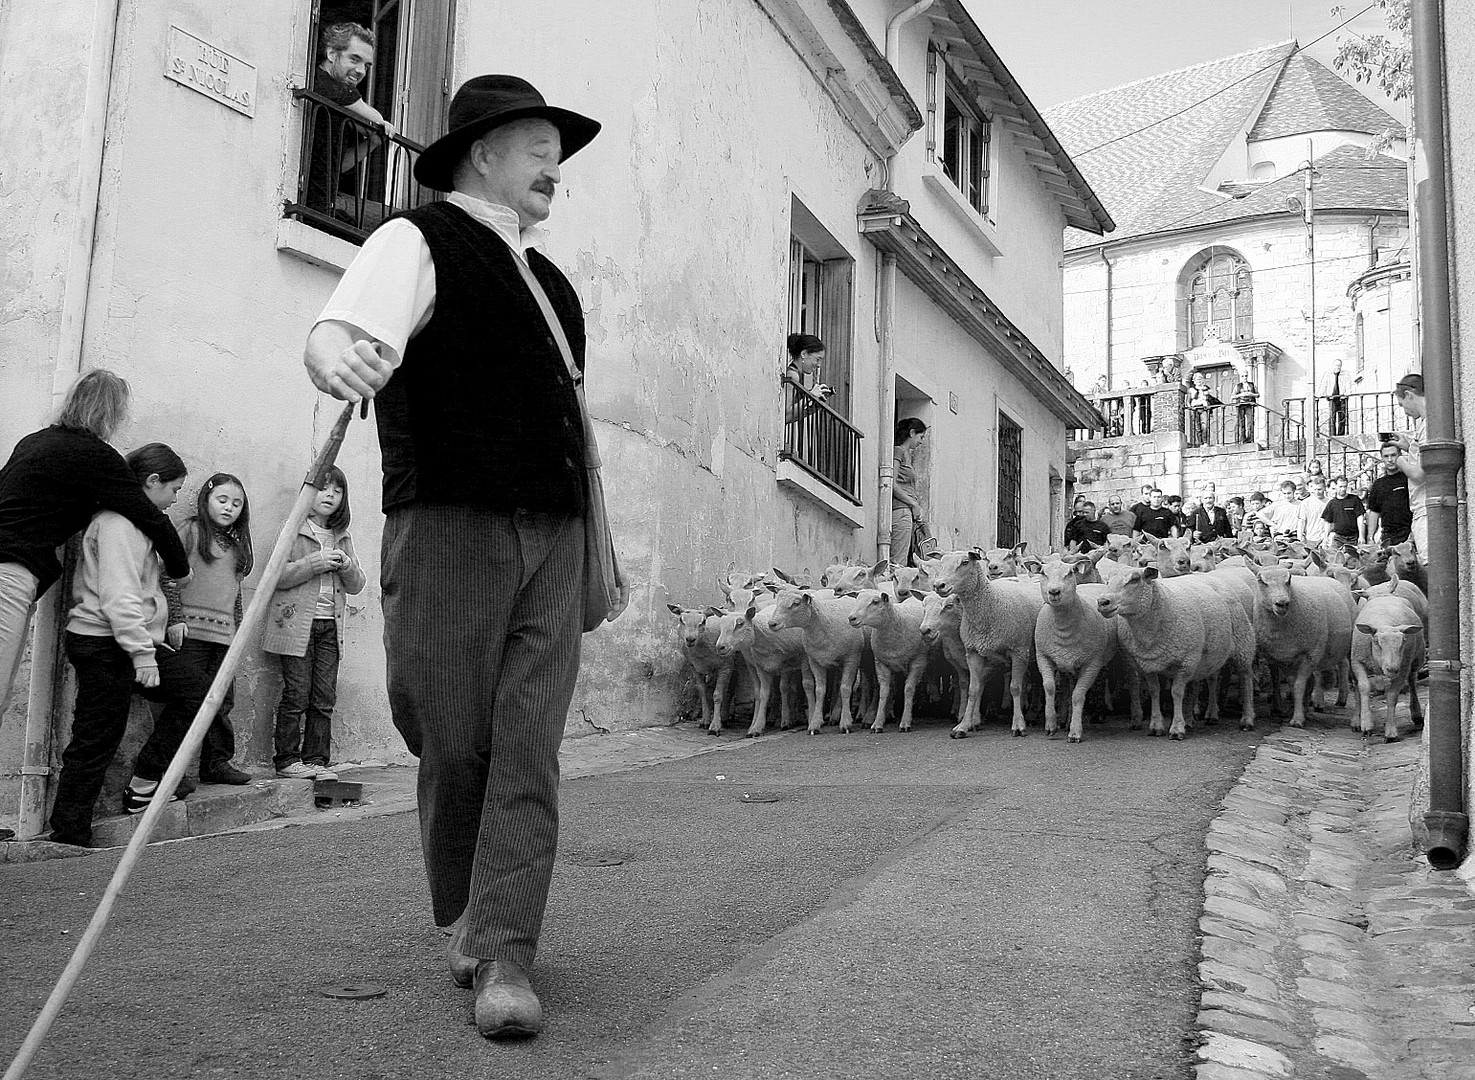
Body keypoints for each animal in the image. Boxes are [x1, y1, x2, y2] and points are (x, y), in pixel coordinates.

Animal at [849, 590, 926, 734]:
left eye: (875, 601)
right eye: (857, 599)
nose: (851, 618)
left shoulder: (918, 662)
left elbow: (908, 689)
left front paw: (905, 722)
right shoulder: (880, 663)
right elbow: (884, 691)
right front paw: (877, 723)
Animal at [926, 548, 1044, 734]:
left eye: (965, 562)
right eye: (942, 562)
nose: (939, 585)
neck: (991, 602)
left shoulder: (1018, 651)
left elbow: (1015, 687)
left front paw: (1018, 724)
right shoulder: (973, 652)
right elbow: (973, 689)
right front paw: (963, 726)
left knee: (1037, 683)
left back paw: (1033, 714)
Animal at [1097, 560, 1256, 737]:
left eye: (1135, 579)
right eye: (1108, 581)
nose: (1103, 602)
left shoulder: (1185, 662)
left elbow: (1177, 692)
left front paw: (1177, 728)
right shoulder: (1148, 664)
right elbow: (1155, 691)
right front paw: (1156, 725)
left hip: (1242, 642)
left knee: (1245, 677)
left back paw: (1247, 719)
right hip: (1210, 654)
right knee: (1210, 680)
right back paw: (1207, 716)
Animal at [1351, 590, 1421, 743]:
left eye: (1404, 641)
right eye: (1376, 641)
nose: (1391, 669)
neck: (1385, 622)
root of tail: (1385, 594)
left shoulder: (1403, 667)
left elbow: (1392, 695)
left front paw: (1391, 732)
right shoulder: (1357, 661)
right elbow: (1363, 687)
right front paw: (1366, 724)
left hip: (1415, 659)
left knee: (1412, 682)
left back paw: (1417, 716)